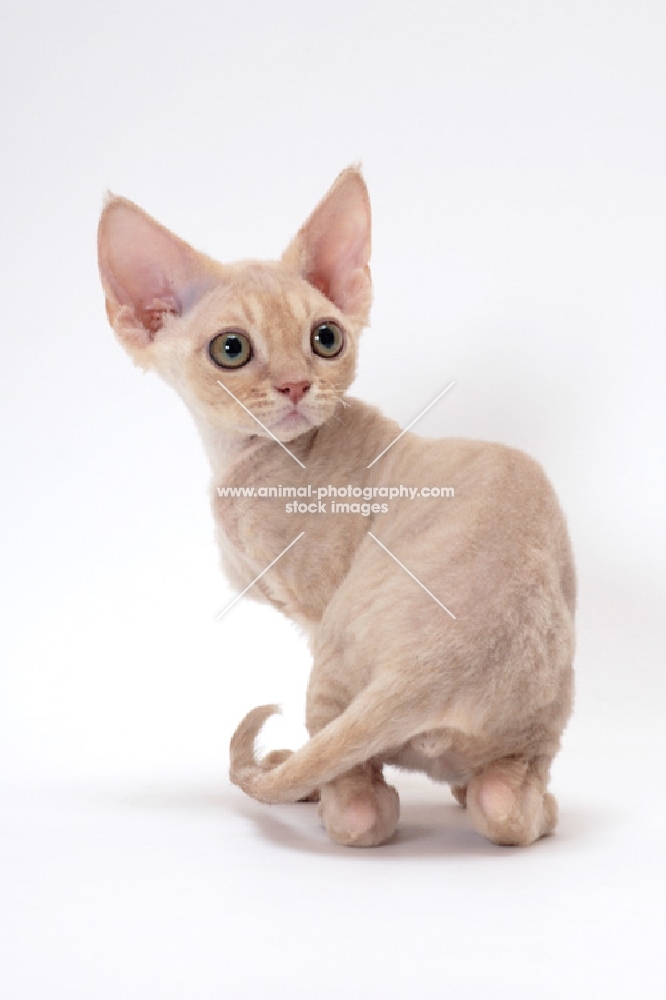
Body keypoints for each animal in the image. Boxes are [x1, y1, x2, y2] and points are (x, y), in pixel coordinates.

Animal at [96, 168, 572, 848]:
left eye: (325, 339)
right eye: (231, 349)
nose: (297, 385)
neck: (246, 462)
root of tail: (429, 672)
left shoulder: (315, 606)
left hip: (333, 660)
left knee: (359, 807)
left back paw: (312, 784)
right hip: (538, 721)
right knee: (505, 808)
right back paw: (520, 802)